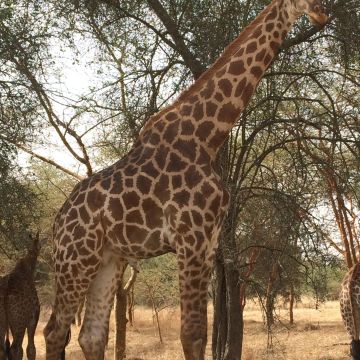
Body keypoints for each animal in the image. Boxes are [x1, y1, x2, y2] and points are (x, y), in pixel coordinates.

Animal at [43, 1, 328, 358]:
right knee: (54, 332)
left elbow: (200, 332)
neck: (207, 137)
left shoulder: (208, 241)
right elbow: (191, 334)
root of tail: (57, 223)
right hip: (76, 260)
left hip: (108, 260)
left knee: (90, 335)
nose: (323, 14)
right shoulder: (190, 236)